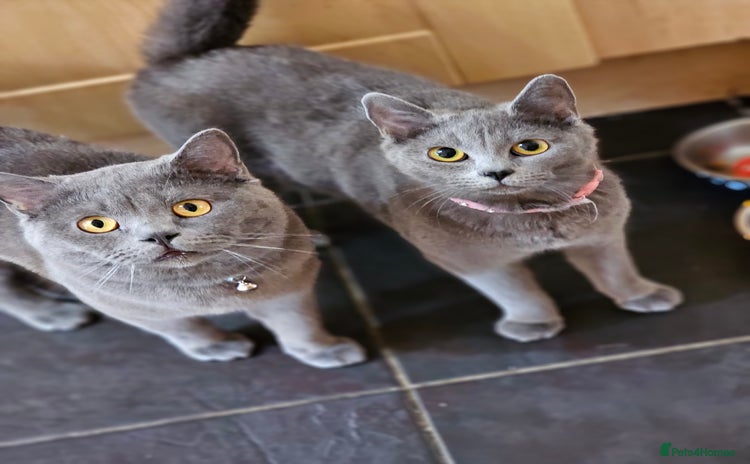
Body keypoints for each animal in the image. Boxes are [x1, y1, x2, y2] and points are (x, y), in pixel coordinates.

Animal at [0, 126, 365, 368]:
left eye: (191, 207)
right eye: (96, 224)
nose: (159, 235)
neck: (203, 286)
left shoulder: (289, 284)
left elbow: (299, 322)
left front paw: (325, 350)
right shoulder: (132, 307)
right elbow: (187, 328)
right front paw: (216, 347)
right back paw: (54, 313)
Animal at [128, 0, 683, 342]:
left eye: (529, 146)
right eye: (446, 154)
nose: (496, 173)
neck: (532, 220)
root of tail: (183, 59)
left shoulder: (603, 232)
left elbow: (615, 268)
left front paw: (643, 295)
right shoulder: (470, 258)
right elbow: (515, 289)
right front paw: (533, 323)